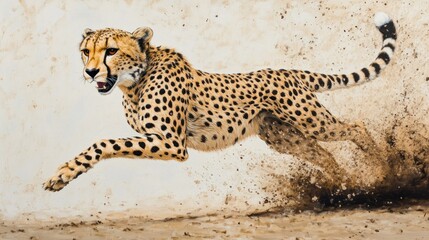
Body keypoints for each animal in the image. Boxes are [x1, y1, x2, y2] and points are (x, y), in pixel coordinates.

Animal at [43, 12, 394, 191]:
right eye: (85, 51)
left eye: (111, 51)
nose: (90, 72)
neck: (134, 83)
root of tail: (286, 71)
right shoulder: (157, 138)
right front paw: (64, 174)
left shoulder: (172, 143)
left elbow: (105, 143)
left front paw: (63, 174)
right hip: (284, 137)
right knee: (325, 156)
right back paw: (342, 187)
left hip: (311, 121)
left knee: (357, 127)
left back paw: (382, 168)